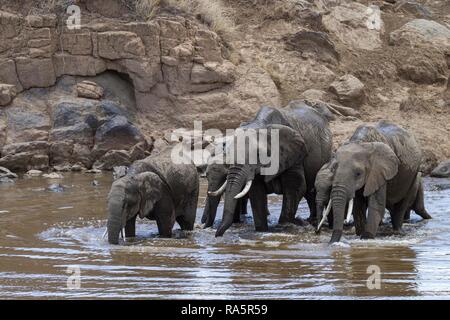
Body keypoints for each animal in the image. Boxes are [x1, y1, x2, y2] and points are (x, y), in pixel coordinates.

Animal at [214, 102, 334, 238]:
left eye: (257, 154)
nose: (217, 236)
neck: (263, 125)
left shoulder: (294, 154)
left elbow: (296, 186)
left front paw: (286, 225)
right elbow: (257, 193)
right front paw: (262, 231)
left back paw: (311, 221)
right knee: (309, 193)